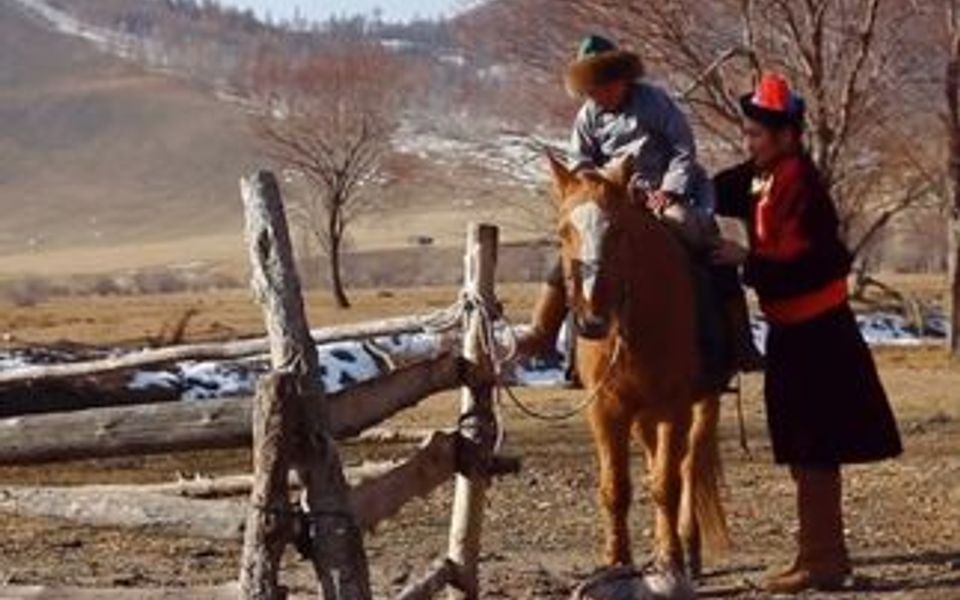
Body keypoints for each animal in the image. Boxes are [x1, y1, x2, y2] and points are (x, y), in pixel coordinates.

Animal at [544, 154, 732, 580]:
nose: (592, 321)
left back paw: (688, 548)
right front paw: (616, 561)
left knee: (689, 466)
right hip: (645, 415)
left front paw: (671, 559)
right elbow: (616, 487)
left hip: (702, 405)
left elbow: (666, 483)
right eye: (563, 232)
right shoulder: (606, 409)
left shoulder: (674, 406)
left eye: (619, 231)